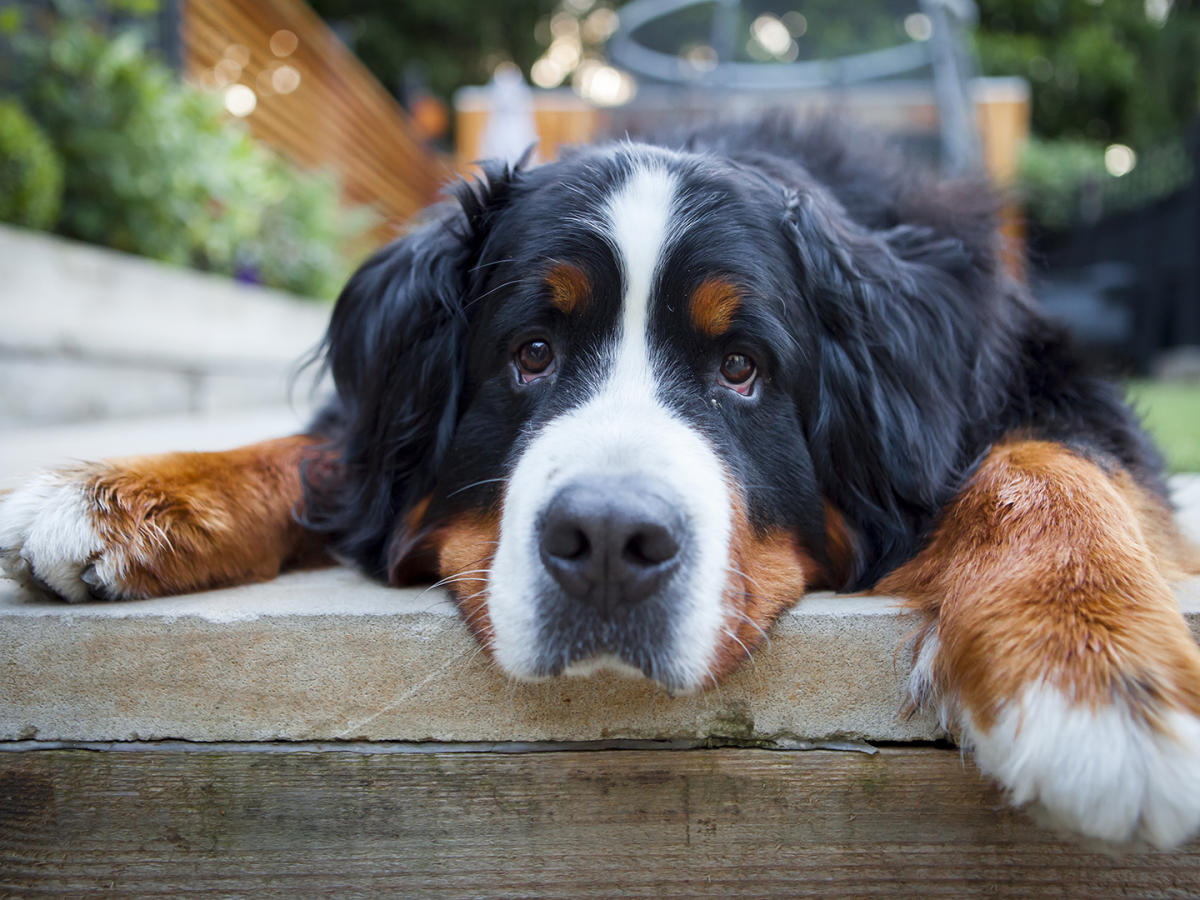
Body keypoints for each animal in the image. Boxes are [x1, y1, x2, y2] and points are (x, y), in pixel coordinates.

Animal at [2, 116, 1200, 849]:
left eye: (741, 368)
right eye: (530, 353)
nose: (613, 543)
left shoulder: (1044, 386)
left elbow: (1047, 462)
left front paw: (1090, 672)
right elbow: (322, 453)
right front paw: (122, 495)